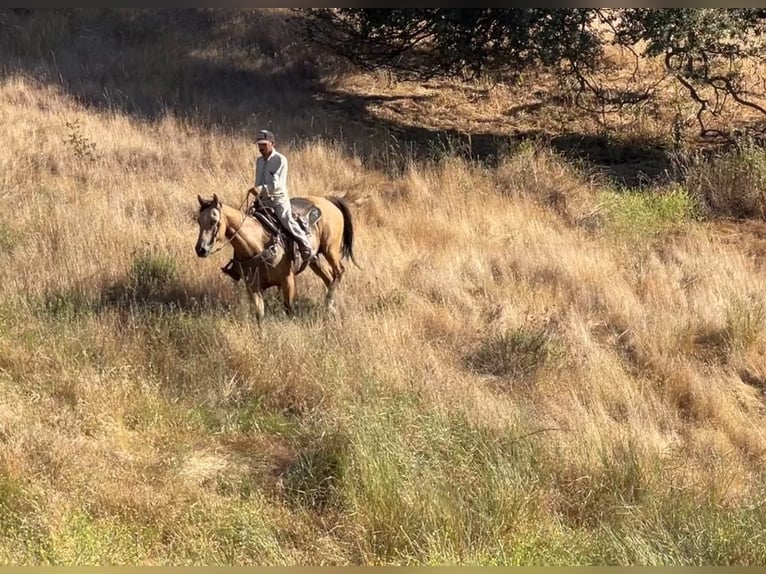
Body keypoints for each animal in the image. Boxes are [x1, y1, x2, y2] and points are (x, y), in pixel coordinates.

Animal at [194, 192, 357, 324]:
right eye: (199, 221)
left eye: (214, 221)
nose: (200, 249)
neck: (258, 245)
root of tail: (327, 200)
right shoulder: (253, 288)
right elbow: (259, 315)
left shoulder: (288, 281)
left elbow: (289, 310)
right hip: (314, 259)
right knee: (329, 278)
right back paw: (329, 308)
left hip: (330, 250)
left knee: (339, 271)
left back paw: (329, 304)